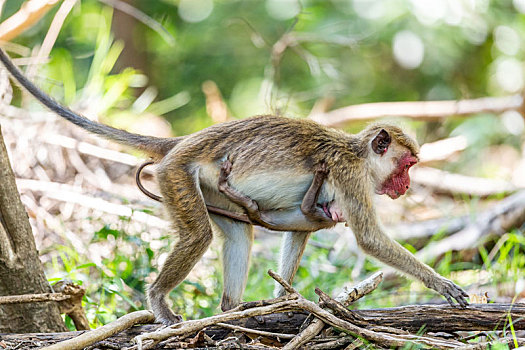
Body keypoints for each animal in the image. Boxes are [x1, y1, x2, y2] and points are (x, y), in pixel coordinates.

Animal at [0, 47, 466, 324]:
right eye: (406, 164)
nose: (406, 185)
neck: (359, 155)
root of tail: (181, 143)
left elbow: (301, 228)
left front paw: (284, 298)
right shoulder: (350, 176)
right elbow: (368, 237)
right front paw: (441, 284)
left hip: (206, 188)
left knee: (239, 233)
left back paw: (232, 309)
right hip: (177, 175)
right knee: (199, 235)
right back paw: (159, 300)